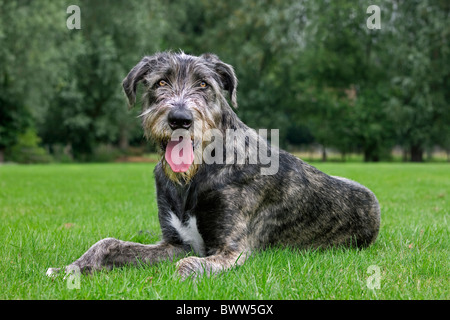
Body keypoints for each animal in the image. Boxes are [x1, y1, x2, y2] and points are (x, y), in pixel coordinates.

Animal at [48, 51, 380, 278]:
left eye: (204, 84)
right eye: (161, 82)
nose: (180, 119)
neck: (195, 176)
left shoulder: (231, 251)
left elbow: (188, 265)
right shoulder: (174, 242)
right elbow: (108, 243)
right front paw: (70, 268)